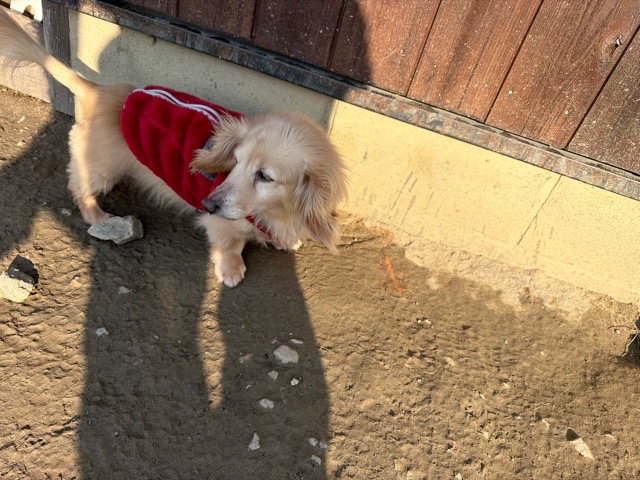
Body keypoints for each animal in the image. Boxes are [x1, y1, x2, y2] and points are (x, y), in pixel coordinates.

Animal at [0, 8, 347, 287]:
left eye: (264, 176)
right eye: (235, 162)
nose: (208, 203)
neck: (274, 212)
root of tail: (100, 91)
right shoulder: (221, 225)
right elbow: (229, 245)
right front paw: (231, 269)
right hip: (100, 167)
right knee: (79, 186)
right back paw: (96, 214)